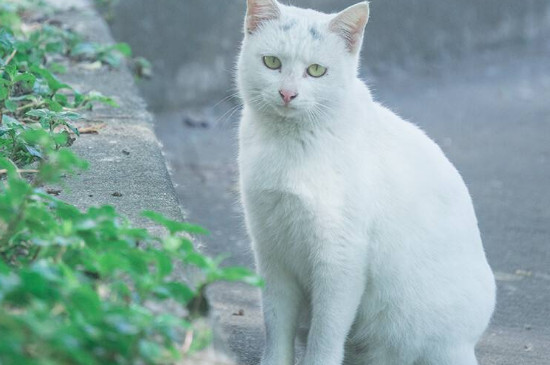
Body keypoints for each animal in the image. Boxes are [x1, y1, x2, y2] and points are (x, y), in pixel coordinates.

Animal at [237, 1, 496, 362]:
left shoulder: (340, 257)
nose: (287, 93)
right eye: (272, 62)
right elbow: (275, 325)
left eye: (316, 70)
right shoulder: (271, 251)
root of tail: (466, 345)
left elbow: (325, 335)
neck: (290, 143)